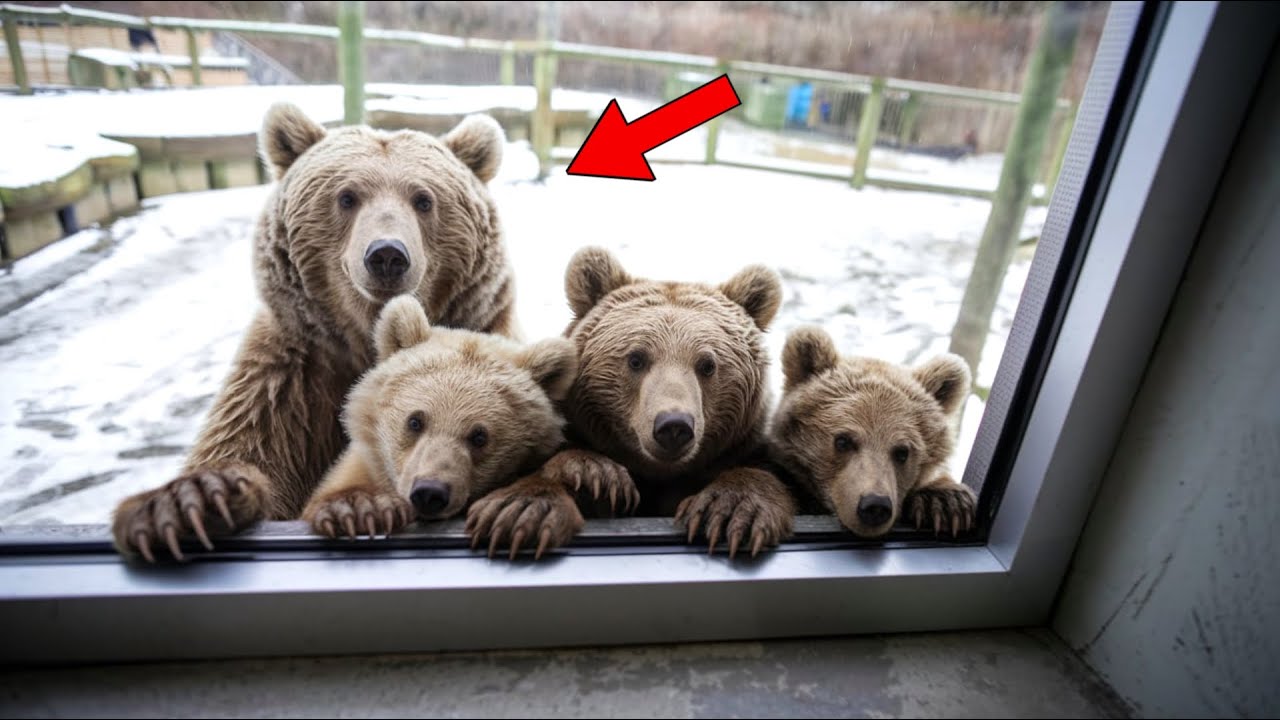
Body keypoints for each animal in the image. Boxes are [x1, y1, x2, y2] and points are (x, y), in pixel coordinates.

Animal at [112, 102, 517, 562]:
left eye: (423, 199)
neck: (367, 336)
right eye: (347, 196)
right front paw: (191, 501)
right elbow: (252, 449)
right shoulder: (290, 381)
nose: (387, 255)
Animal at [467, 247, 795, 559]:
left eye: (707, 364)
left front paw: (729, 511)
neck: (657, 475)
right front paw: (532, 505)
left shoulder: (743, 449)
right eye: (636, 358)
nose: (673, 425)